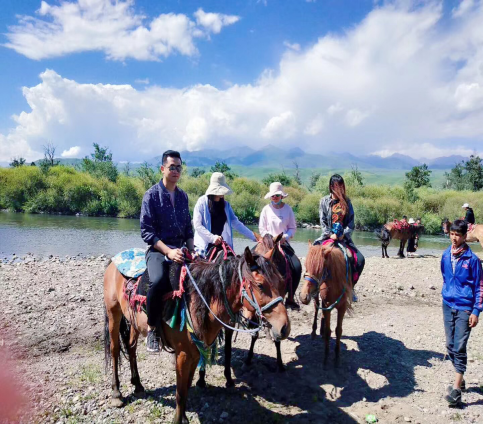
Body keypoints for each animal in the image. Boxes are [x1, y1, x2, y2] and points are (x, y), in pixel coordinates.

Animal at [104, 247, 290, 424]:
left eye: (282, 282)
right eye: (260, 285)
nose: (284, 328)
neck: (199, 302)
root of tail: (114, 261)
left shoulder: (194, 354)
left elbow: (186, 388)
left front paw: (184, 417)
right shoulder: (183, 355)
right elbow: (180, 393)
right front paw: (178, 420)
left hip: (134, 323)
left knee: (131, 347)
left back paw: (138, 385)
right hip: (114, 313)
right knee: (115, 350)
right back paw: (116, 393)